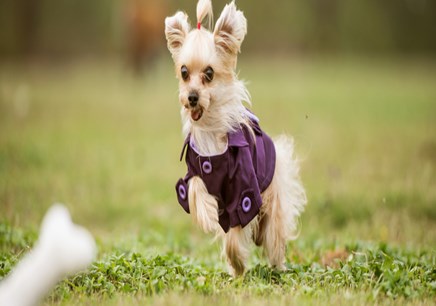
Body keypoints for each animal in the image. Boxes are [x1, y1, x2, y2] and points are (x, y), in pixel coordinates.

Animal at [164, 0, 306, 278]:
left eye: (209, 73)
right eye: (184, 72)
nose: (192, 97)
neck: (210, 130)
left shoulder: (243, 190)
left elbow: (235, 229)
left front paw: (238, 263)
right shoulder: (194, 169)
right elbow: (194, 188)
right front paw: (206, 213)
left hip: (274, 200)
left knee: (273, 236)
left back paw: (277, 265)